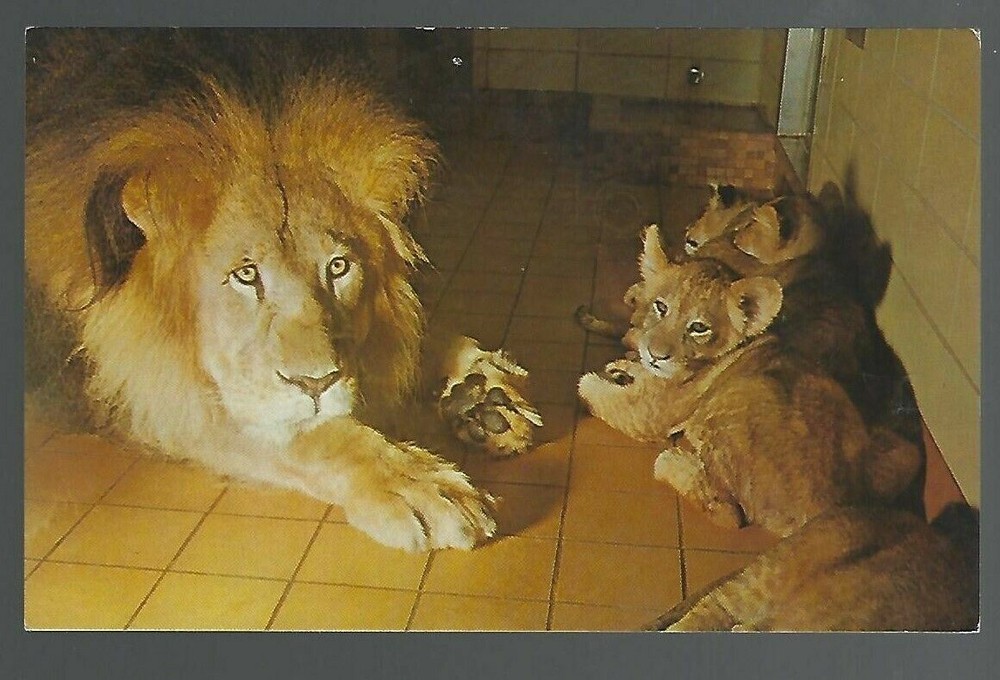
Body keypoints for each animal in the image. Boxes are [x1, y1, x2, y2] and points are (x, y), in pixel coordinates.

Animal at [25, 29, 542, 552]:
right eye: (246, 275)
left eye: (338, 267)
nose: (316, 384)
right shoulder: (128, 390)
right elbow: (305, 435)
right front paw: (415, 481)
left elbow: (410, 334)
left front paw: (483, 391)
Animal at [582, 226, 923, 536]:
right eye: (661, 307)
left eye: (699, 328)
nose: (656, 355)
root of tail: (834, 510)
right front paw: (622, 367)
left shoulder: (647, 415)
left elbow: (588, 389)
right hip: (902, 448)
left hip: (741, 394)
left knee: (731, 515)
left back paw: (675, 461)